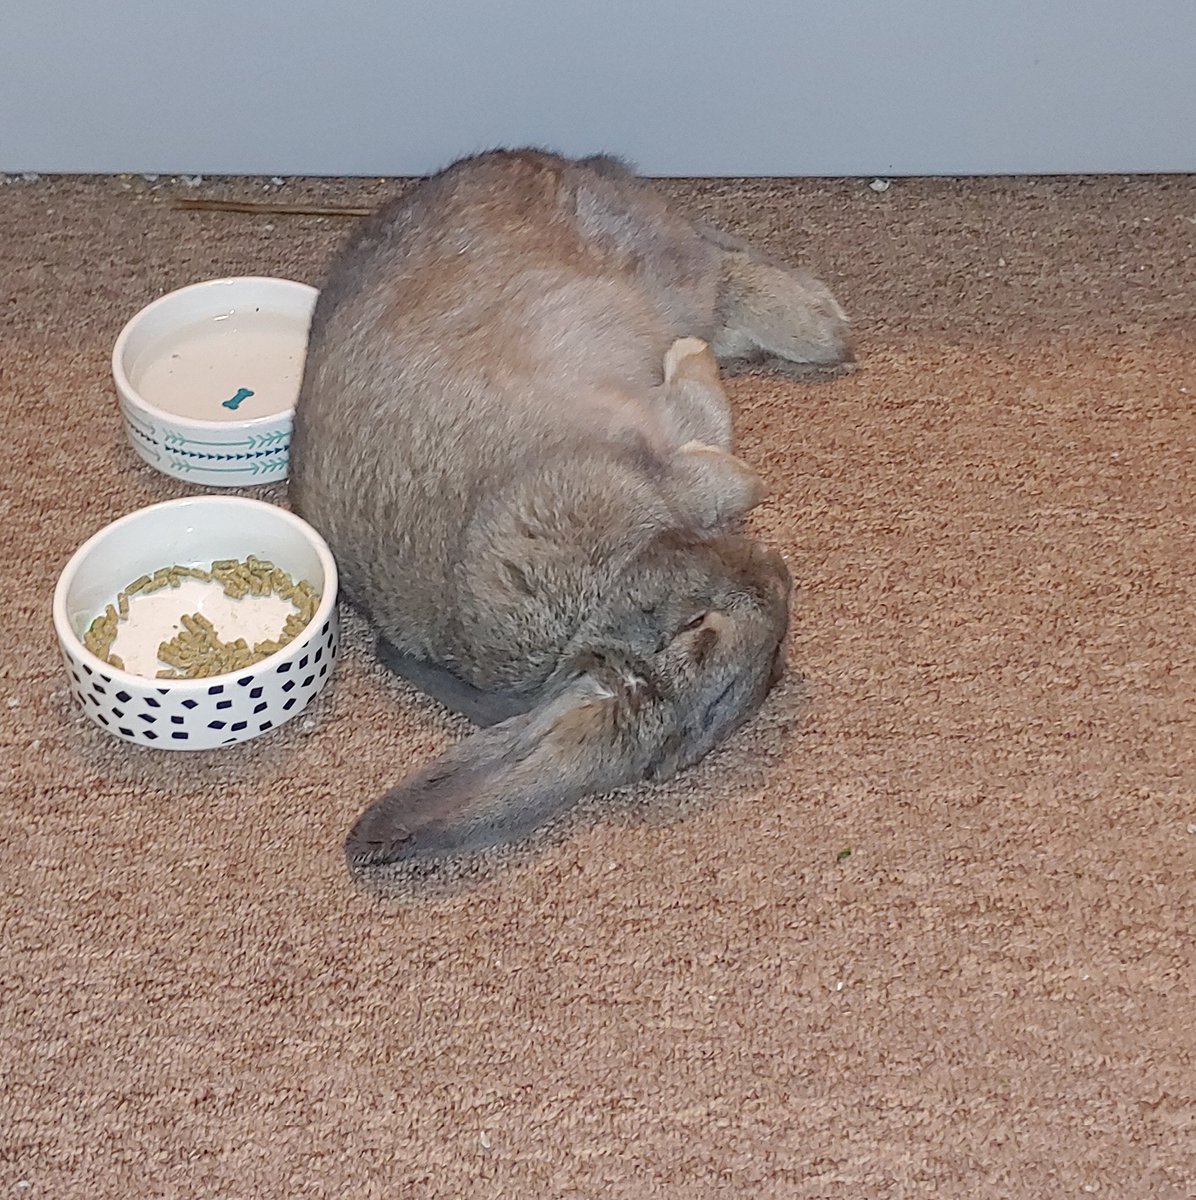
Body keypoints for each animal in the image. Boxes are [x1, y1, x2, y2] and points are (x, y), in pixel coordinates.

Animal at [288, 147, 853, 869]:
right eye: (701, 628)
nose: (776, 569)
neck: (598, 597)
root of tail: (542, 162)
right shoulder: (661, 459)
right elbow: (729, 464)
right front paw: (689, 363)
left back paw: (817, 326)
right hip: (658, 276)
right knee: (714, 276)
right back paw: (792, 329)